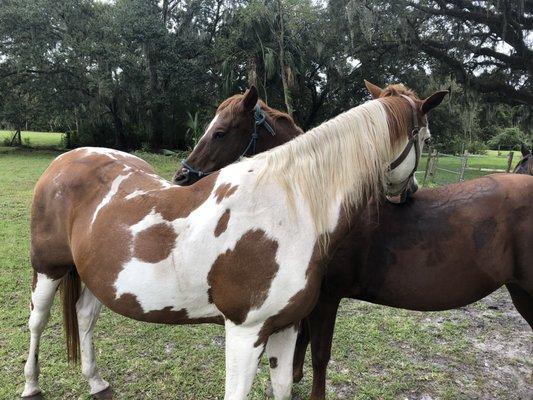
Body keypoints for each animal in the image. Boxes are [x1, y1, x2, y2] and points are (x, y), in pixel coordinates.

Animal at [22, 82, 434, 400]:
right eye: (427, 138)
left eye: (221, 131)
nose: (408, 192)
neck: (288, 206)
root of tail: (66, 160)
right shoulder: (245, 332)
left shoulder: (285, 327)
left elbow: (283, 388)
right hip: (48, 269)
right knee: (37, 321)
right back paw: (31, 386)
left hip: (95, 277)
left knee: (85, 316)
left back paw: (96, 382)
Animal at [177, 82, 528, 400]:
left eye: (221, 133)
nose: (183, 177)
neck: (318, 197)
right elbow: (304, 340)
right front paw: (295, 375)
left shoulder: (327, 297)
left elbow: (320, 353)